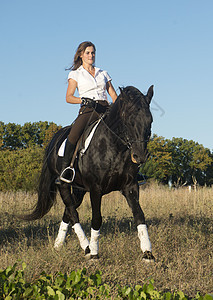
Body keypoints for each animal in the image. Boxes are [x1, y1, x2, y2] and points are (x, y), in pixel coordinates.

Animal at [23, 84, 154, 260]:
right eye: (129, 120)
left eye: (150, 120)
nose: (140, 156)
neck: (113, 147)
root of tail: (55, 138)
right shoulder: (95, 189)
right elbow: (96, 219)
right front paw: (94, 253)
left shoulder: (130, 186)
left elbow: (139, 215)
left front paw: (148, 253)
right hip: (63, 185)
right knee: (73, 212)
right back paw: (86, 248)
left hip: (79, 189)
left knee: (68, 211)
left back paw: (58, 245)